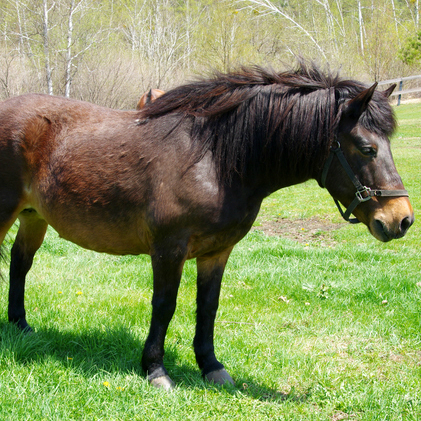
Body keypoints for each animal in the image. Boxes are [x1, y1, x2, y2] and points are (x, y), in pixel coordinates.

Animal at [0, 63, 414, 390]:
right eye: (367, 148)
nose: (402, 218)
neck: (214, 159)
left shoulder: (217, 251)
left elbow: (208, 306)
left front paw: (211, 367)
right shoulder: (169, 249)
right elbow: (164, 305)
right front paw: (155, 370)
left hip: (34, 216)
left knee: (20, 263)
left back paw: (21, 326)